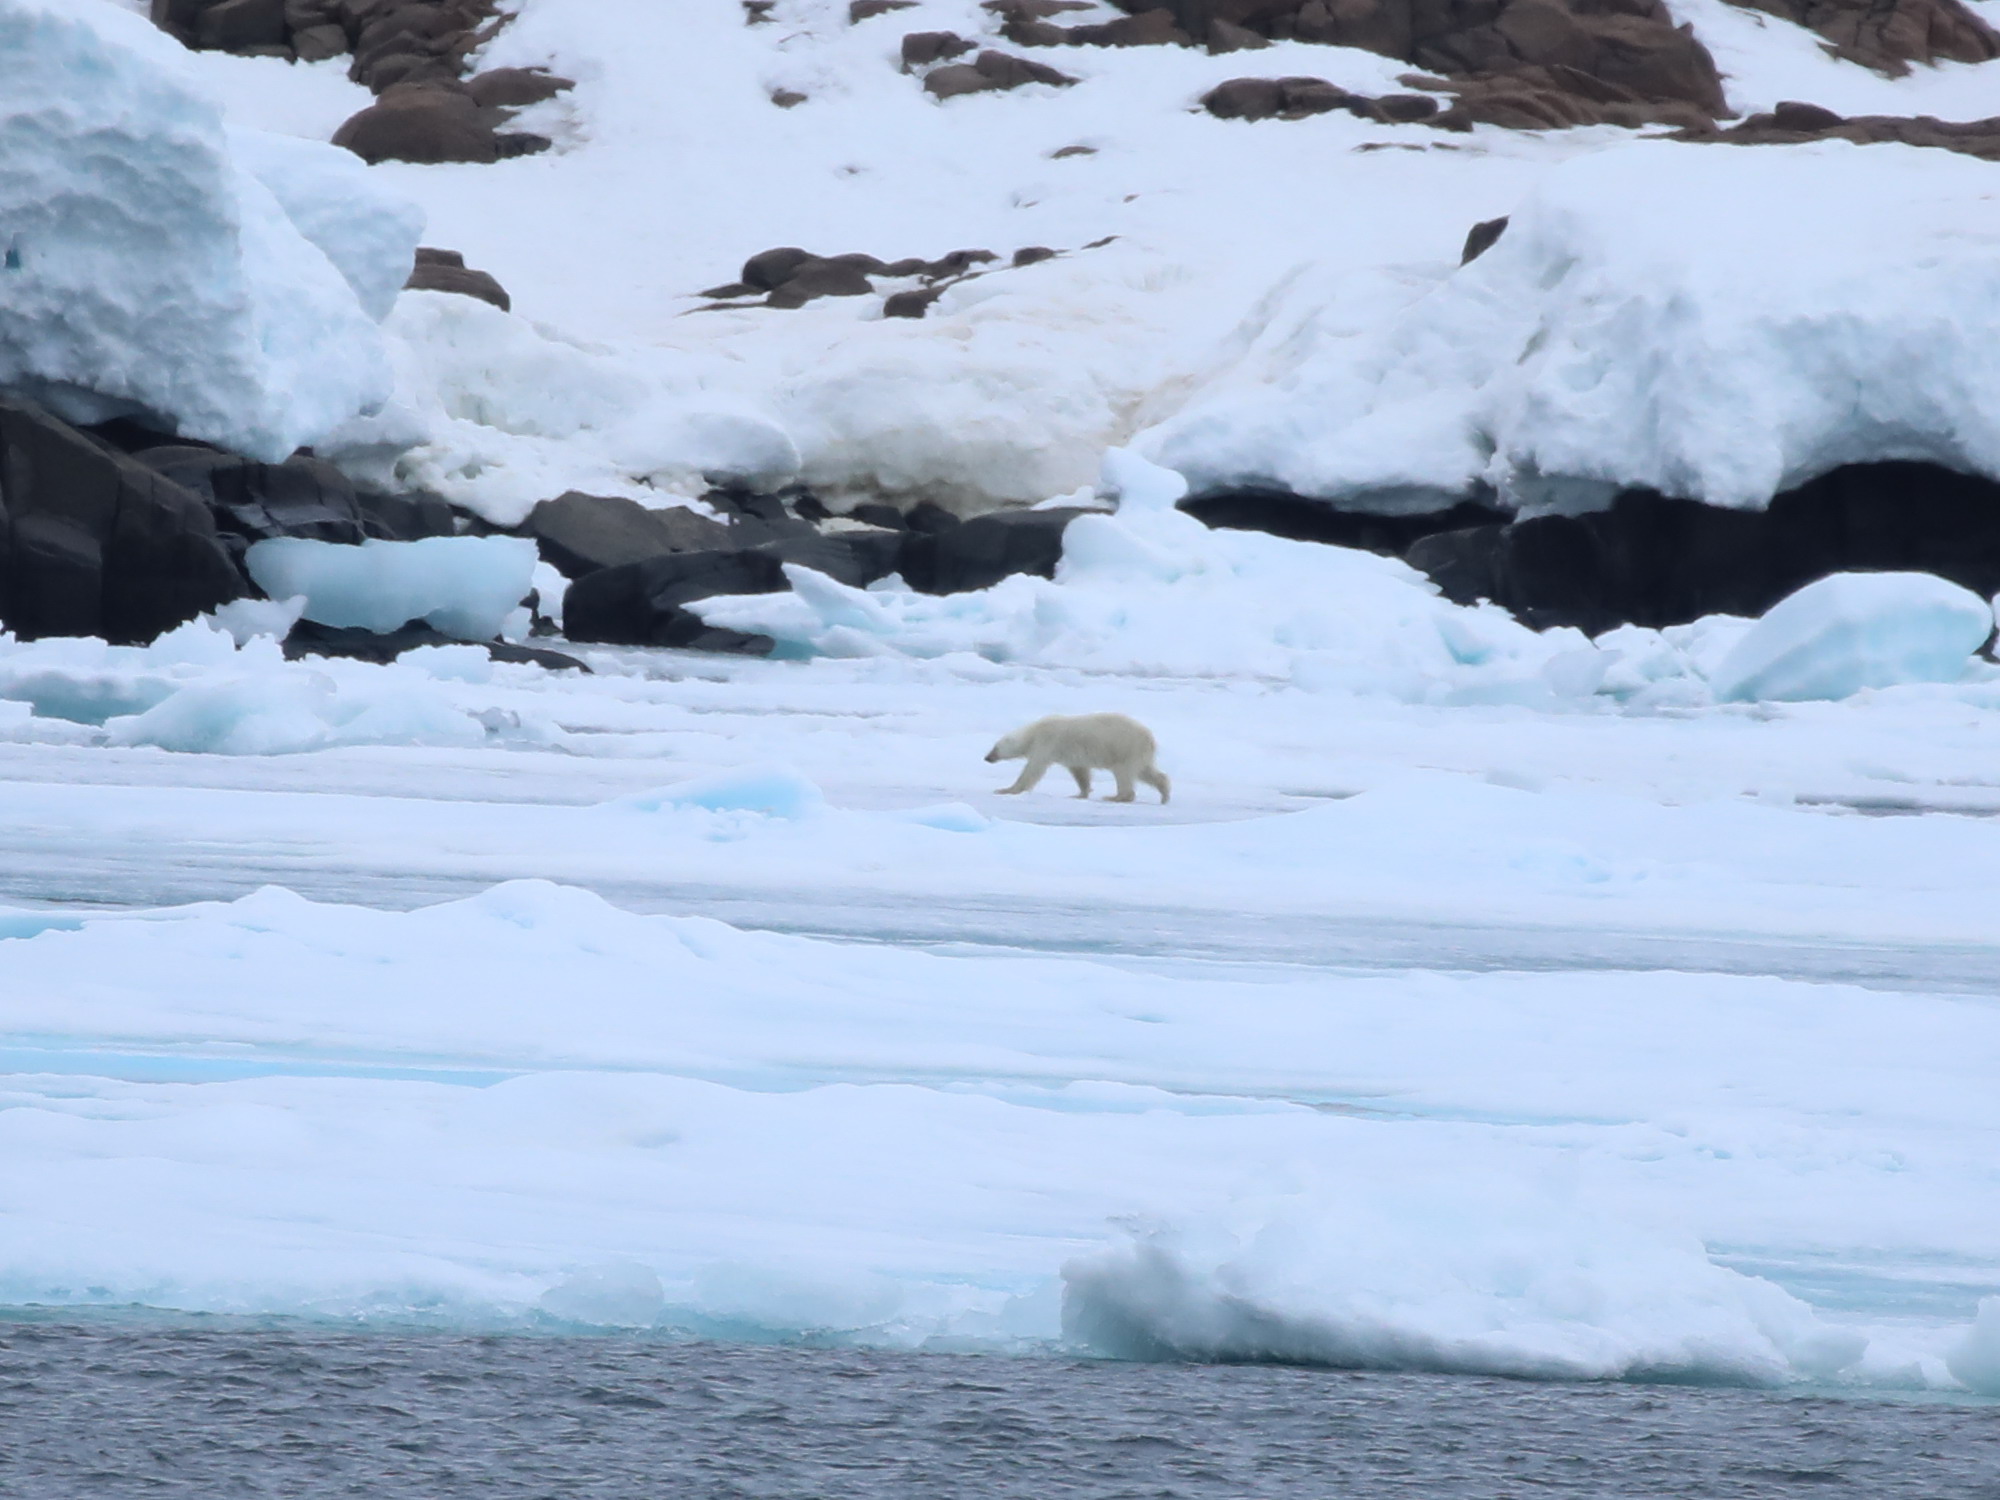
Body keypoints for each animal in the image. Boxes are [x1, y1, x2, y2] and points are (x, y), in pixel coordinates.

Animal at [984, 712, 1168, 804]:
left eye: (995, 748)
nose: (987, 758)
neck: (1033, 732)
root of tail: (1150, 738)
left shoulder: (1046, 742)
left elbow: (1033, 769)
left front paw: (1006, 790)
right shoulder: (1070, 755)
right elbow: (1080, 772)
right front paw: (1080, 794)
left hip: (1125, 748)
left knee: (1124, 772)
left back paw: (1115, 797)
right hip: (1138, 753)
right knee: (1146, 772)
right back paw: (1164, 794)